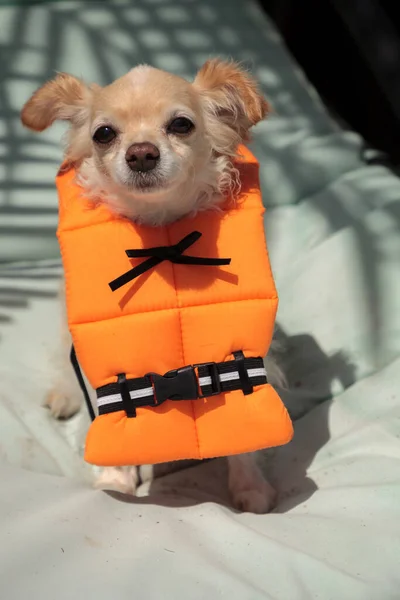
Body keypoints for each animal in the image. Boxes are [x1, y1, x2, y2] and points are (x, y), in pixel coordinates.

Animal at [20, 59, 280, 510]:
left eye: (181, 125)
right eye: (104, 134)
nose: (141, 153)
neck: (160, 227)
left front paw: (250, 487)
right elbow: (113, 407)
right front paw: (115, 480)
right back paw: (64, 395)